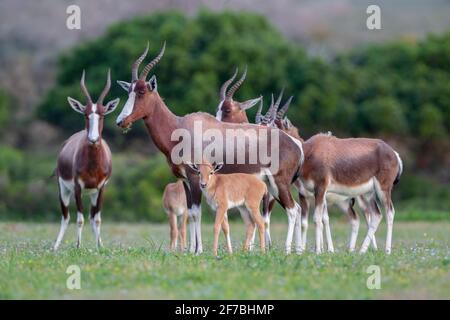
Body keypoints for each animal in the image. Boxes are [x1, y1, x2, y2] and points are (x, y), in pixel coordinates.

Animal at [53, 69, 119, 250]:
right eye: (85, 114)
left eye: (102, 115)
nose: (93, 139)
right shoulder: (77, 188)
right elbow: (79, 220)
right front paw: (78, 246)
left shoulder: (101, 188)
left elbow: (97, 219)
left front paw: (100, 246)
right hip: (64, 189)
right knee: (66, 217)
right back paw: (55, 246)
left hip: (92, 193)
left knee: (91, 217)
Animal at [116, 43, 304, 256]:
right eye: (129, 91)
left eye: (141, 92)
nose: (121, 121)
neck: (180, 127)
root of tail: (296, 145)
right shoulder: (185, 181)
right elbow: (191, 212)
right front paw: (191, 250)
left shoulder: (196, 178)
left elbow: (197, 213)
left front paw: (198, 250)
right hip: (271, 186)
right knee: (297, 208)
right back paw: (298, 250)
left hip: (279, 183)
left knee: (292, 210)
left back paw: (288, 251)